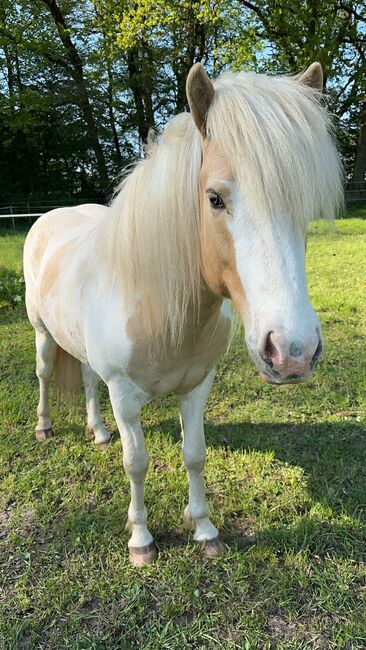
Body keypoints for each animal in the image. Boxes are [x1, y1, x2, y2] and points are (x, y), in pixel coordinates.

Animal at [22, 63, 344, 564]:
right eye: (214, 198)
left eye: (305, 207)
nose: (292, 352)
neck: (159, 305)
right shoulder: (125, 396)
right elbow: (136, 463)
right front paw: (141, 541)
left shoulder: (197, 387)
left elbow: (195, 454)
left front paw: (206, 530)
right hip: (41, 331)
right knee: (42, 374)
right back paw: (44, 428)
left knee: (89, 382)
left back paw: (98, 432)